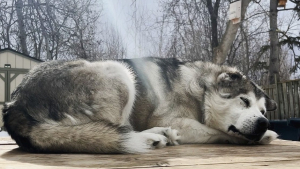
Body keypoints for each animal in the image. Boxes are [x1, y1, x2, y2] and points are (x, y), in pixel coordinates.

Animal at [2, 57, 278, 153]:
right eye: (244, 101)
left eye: (263, 111)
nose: (263, 122)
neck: (198, 92)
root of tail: (15, 102)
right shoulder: (178, 121)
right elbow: (216, 131)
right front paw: (265, 136)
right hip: (119, 72)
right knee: (113, 131)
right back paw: (150, 138)